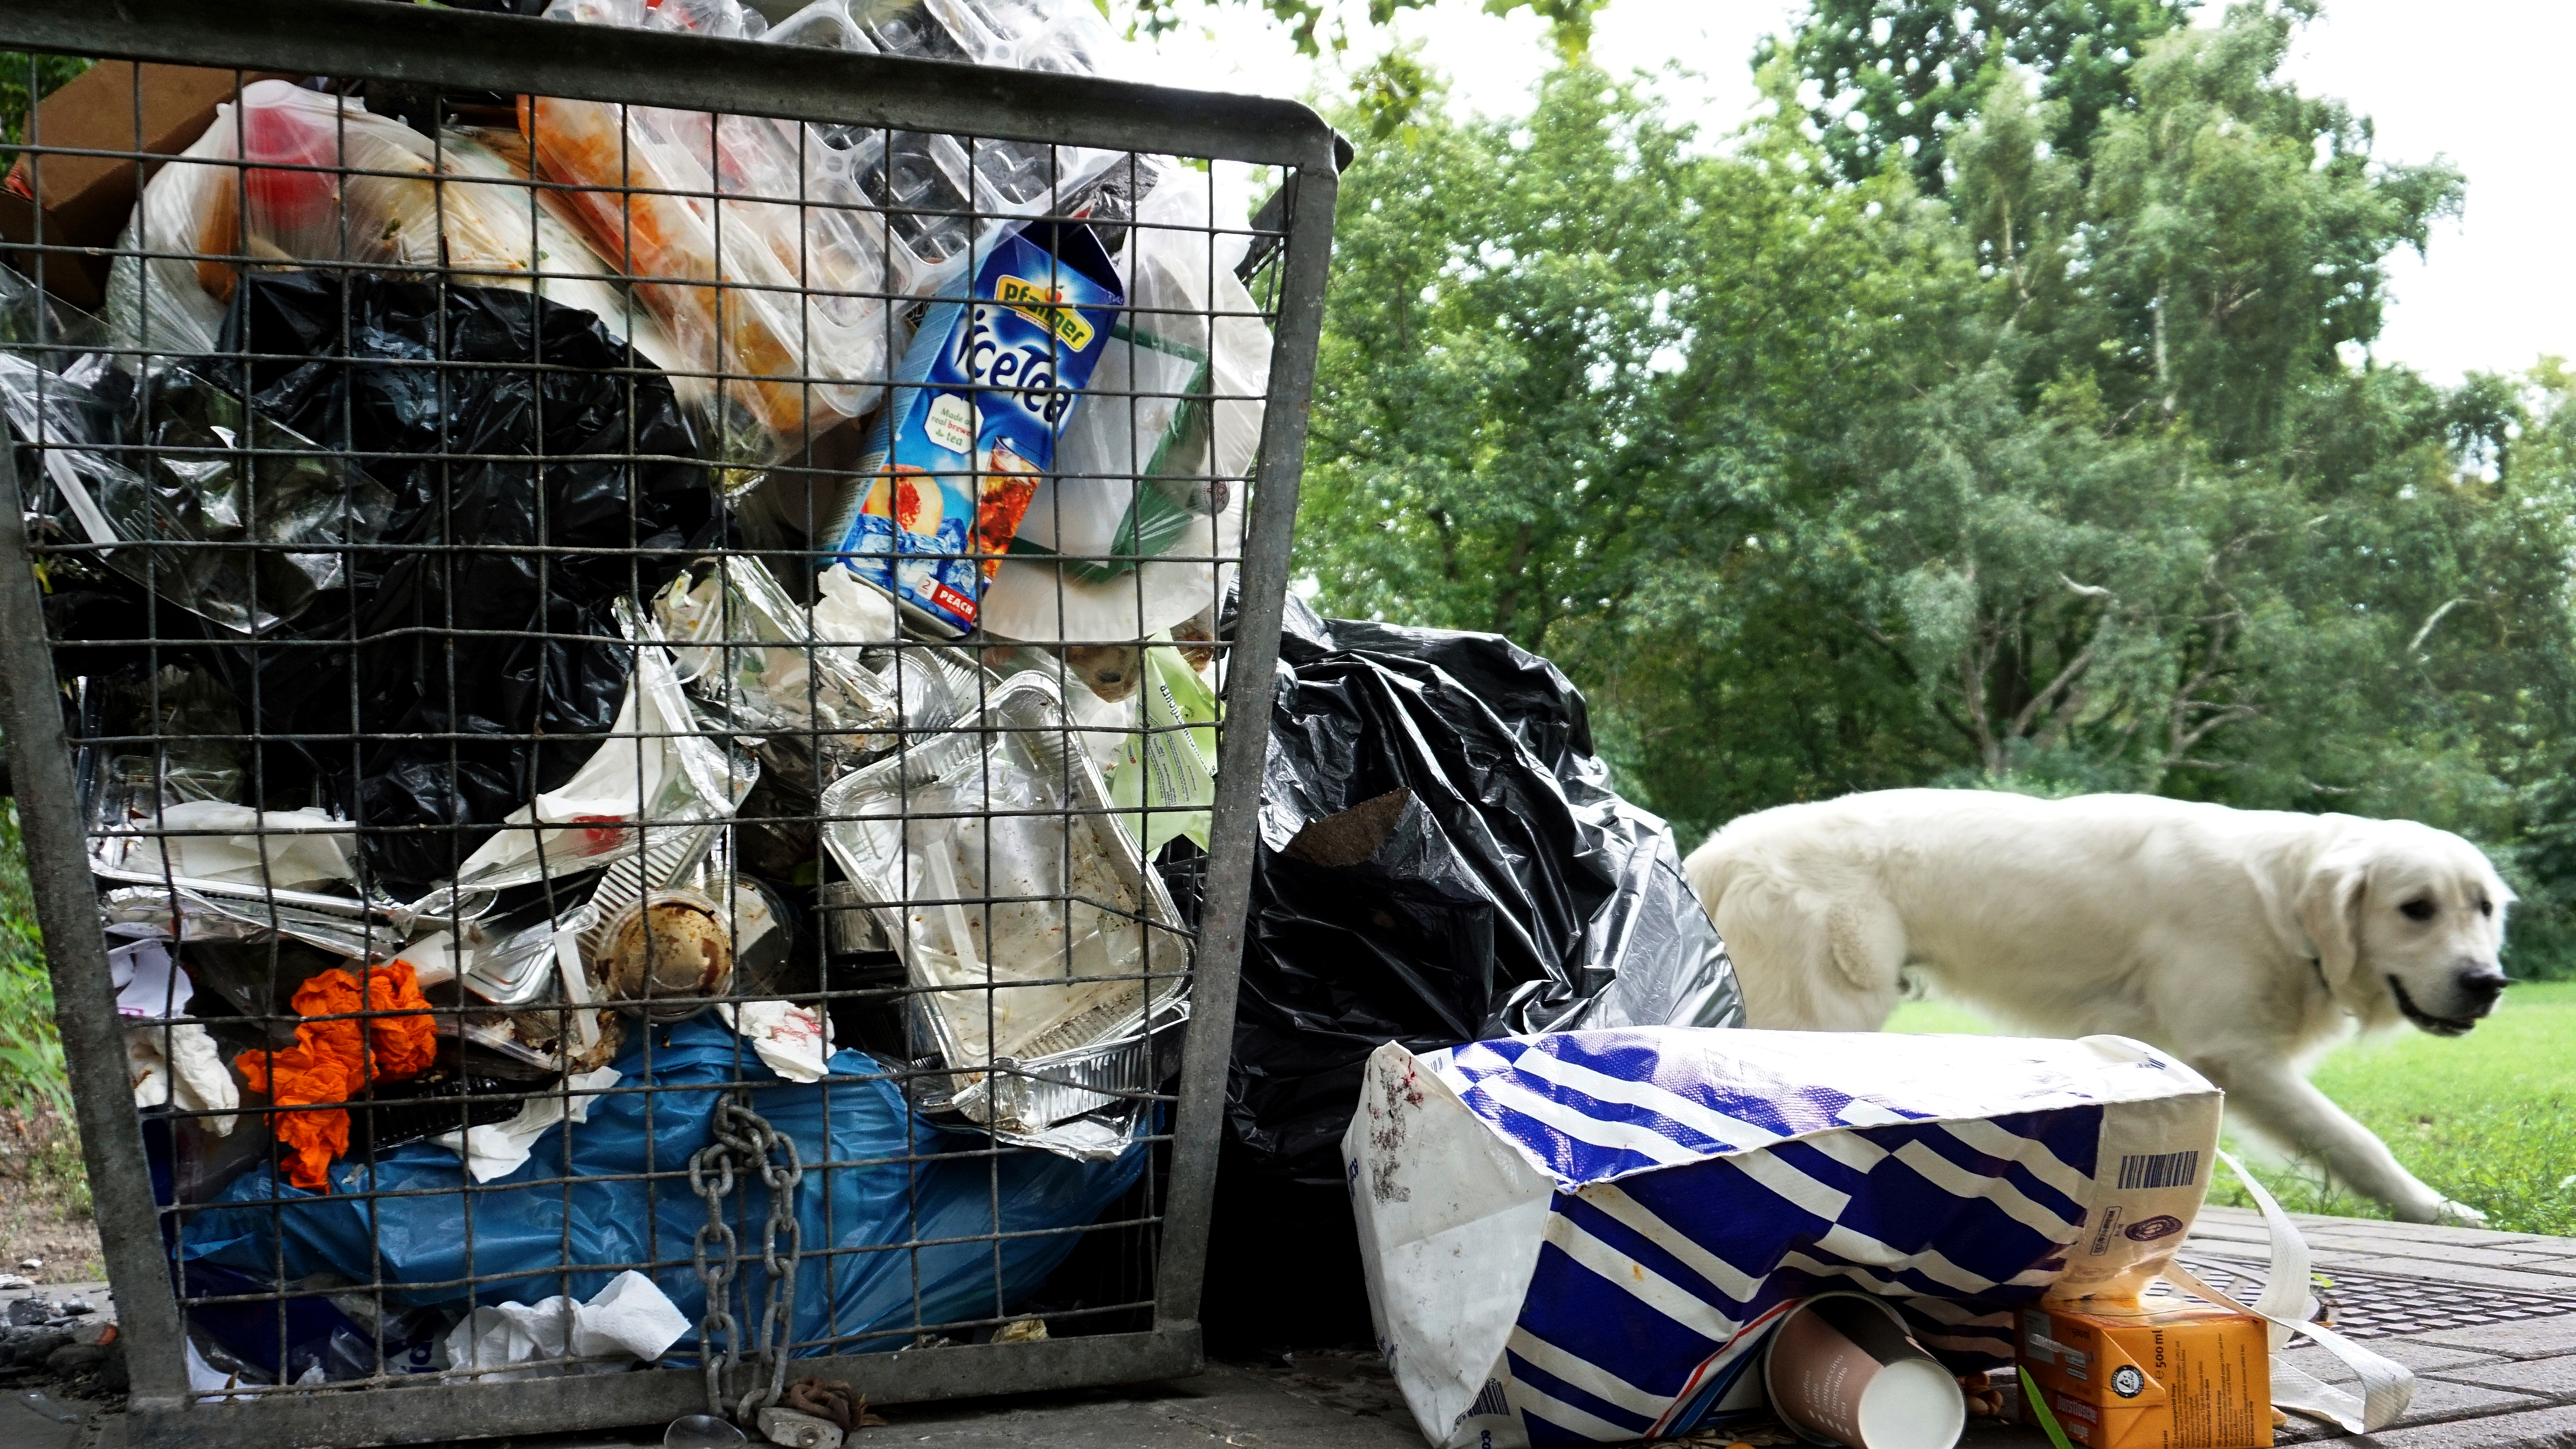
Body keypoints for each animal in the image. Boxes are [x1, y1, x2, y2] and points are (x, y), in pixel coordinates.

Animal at [1690, 789, 2514, 1217]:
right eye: (2415, 909)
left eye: (2482, 908)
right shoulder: (2233, 1053)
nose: (2487, 983)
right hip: (1824, 1012)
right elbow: (2356, 1142)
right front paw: (2436, 1210)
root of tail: (1727, 844)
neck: (2281, 899)